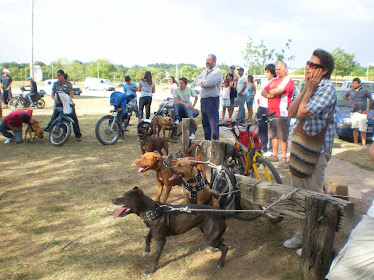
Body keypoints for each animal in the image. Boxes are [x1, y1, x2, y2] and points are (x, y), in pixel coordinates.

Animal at [111, 187, 260, 274]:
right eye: (123, 194)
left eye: (127, 197)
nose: (112, 199)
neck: (152, 210)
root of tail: (221, 213)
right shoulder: (154, 231)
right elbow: (147, 236)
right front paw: (146, 249)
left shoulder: (161, 239)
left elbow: (156, 256)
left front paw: (150, 270)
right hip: (209, 233)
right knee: (221, 240)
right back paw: (212, 249)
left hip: (209, 237)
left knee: (225, 247)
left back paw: (220, 263)